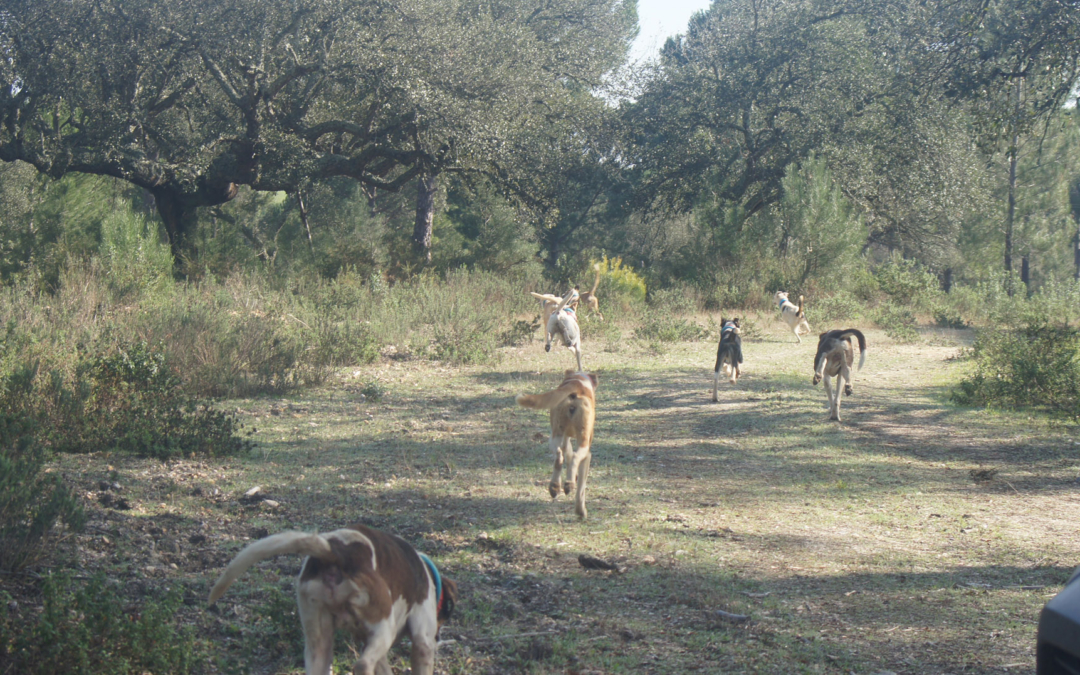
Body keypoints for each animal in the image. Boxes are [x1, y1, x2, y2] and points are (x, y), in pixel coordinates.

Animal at [206, 524, 455, 673]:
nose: (440, 635)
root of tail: (335, 552)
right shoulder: (422, 642)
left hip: (319, 641)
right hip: (383, 628)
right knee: (361, 665)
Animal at [516, 371, 600, 518]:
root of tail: (575, 386)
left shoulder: (565, 440)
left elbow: (568, 453)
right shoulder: (586, 457)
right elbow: (581, 491)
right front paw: (581, 511)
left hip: (554, 436)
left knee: (559, 457)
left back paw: (555, 486)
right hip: (583, 443)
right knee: (575, 457)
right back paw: (569, 484)